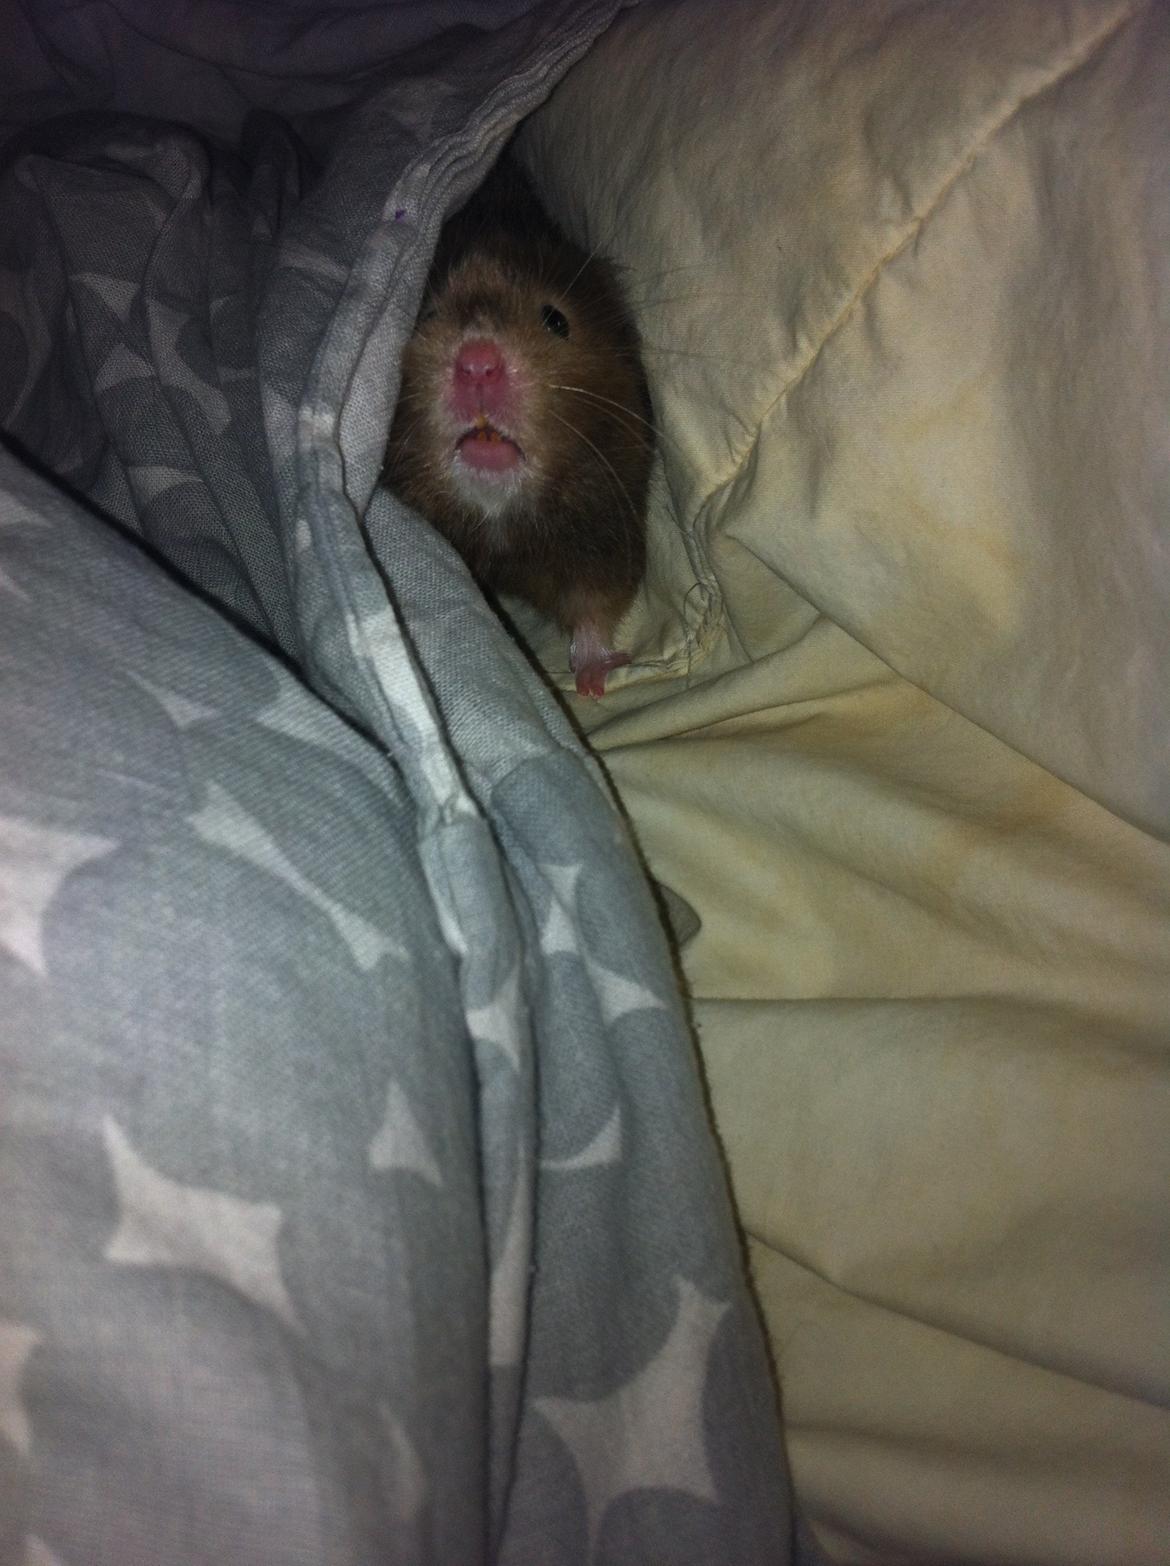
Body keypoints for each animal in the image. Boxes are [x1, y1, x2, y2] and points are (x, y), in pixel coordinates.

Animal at [382, 153, 653, 698]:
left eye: (556, 320)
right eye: (428, 314)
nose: (477, 365)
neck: (500, 524)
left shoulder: (605, 523)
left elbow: (597, 604)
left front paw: (592, 683)